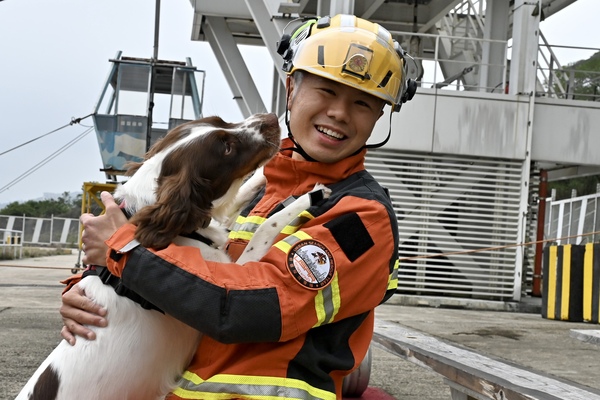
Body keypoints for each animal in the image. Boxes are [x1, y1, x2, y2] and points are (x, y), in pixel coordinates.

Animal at [14, 113, 290, 400]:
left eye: (219, 120)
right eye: (226, 147)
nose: (271, 117)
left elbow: (243, 193)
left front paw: (266, 174)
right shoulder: (230, 277)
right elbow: (265, 229)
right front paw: (304, 198)